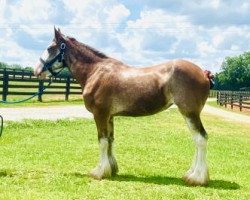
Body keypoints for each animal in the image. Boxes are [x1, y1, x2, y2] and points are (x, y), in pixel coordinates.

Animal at [33, 28, 213, 186]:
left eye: (50, 48)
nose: (36, 70)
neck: (95, 71)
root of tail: (204, 74)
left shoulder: (100, 115)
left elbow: (102, 141)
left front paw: (99, 172)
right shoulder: (109, 116)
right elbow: (110, 141)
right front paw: (111, 169)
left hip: (189, 113)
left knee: (200, 139)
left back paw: (196, 178)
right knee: (197, 140)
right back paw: (191, 174)